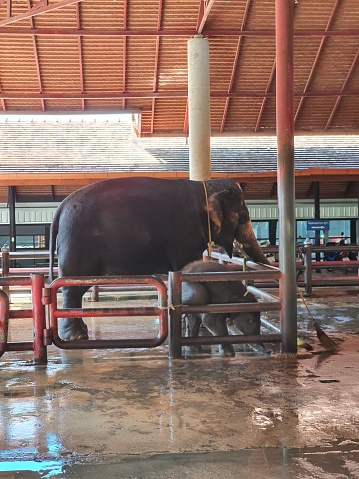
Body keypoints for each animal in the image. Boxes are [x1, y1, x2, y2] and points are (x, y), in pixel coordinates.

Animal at [50, 177, 270, 342]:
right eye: (243, 217)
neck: (204, 186)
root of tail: (59, 209)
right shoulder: (185, 234)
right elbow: (187, 268)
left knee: (76, 289)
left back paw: (81, 333)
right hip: (76, 243)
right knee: (71, 288)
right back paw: (76, 337)